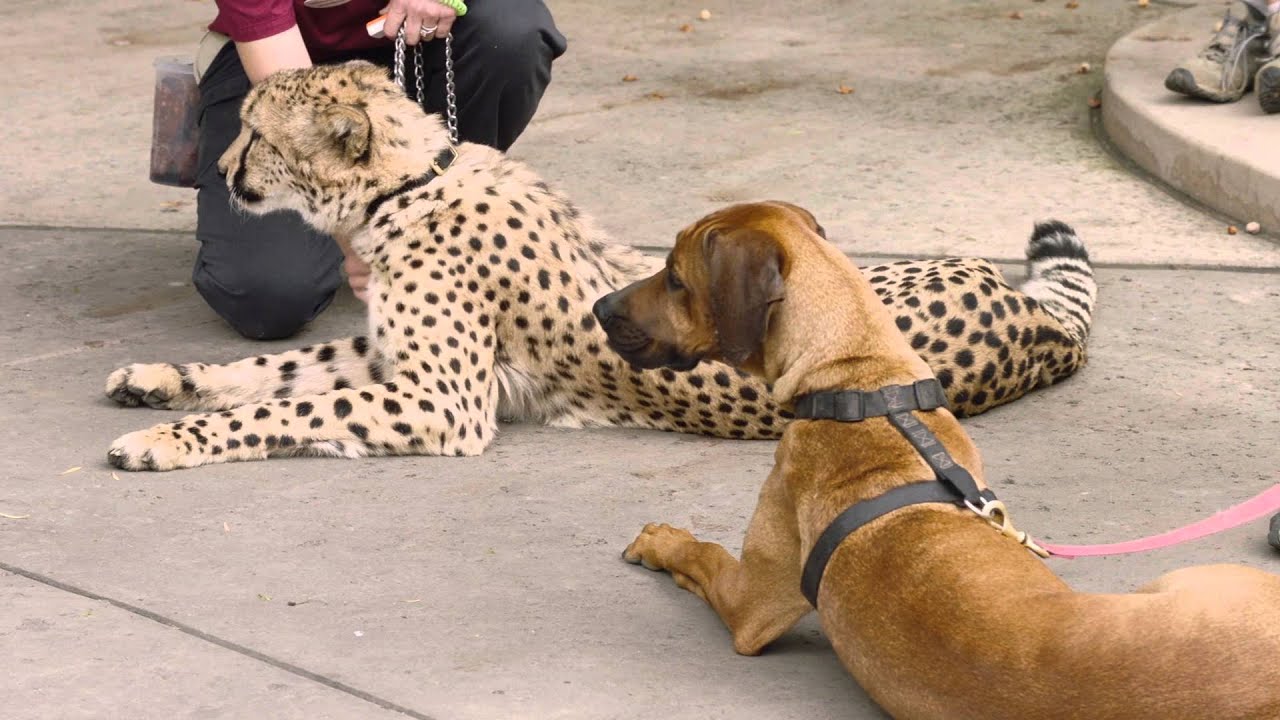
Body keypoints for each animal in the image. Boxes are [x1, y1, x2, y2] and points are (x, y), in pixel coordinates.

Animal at [102, 63, 1100, 471]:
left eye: (256, 134)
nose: (220, 168)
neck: (409, 186)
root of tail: (1040, 326)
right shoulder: (386, 357)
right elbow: (268, 371)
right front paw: (160, 380)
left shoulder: (442, 403)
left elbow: (284, 408)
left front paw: (169, 440)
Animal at [593, 199, 1280, 717]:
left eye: (674, 277)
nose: (600, 308)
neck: (861, 377)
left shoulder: (751, 603)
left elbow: (704, 555)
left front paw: (660, 541)